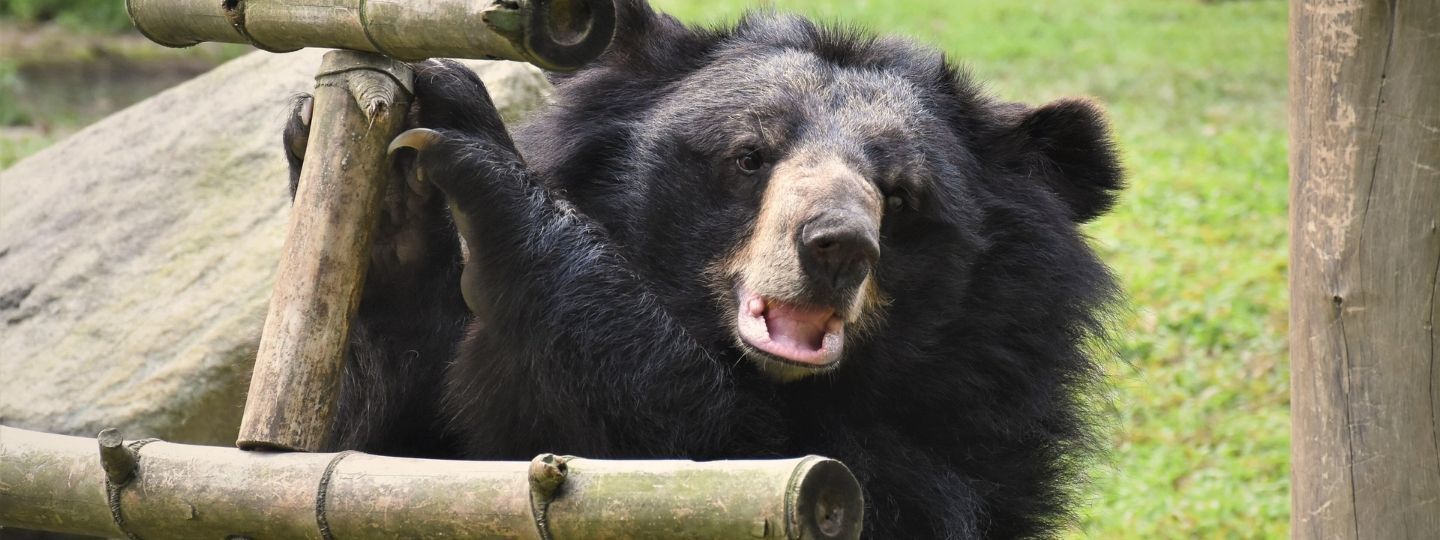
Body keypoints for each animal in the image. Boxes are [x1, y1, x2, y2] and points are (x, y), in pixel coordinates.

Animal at [281, 1, 1123, 537]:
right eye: (751, 156)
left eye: (899, 196)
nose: (837, 246)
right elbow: (382, 457)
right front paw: (399, 200)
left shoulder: (963, 430)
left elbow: (691, 466)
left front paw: (470, 147)